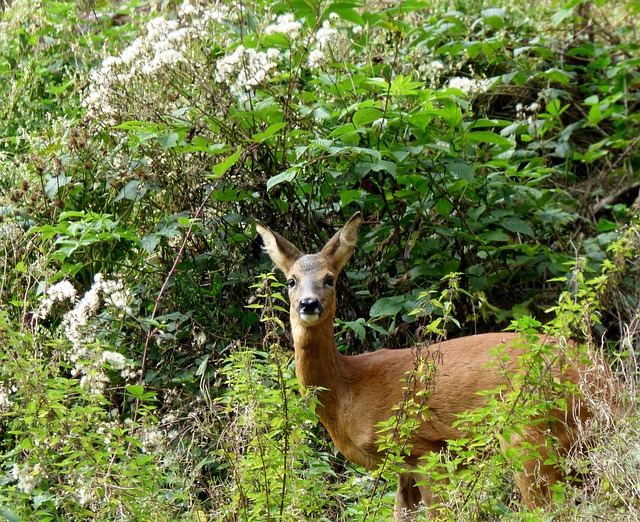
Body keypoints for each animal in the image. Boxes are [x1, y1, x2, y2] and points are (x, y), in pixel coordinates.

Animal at [255, 212, 616, 520]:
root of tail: (609, 383)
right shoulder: (402, 468)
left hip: (529, 434)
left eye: (329, 278)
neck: (349, 386)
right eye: (291, 281)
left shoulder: (426, 450)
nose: (308, 304)